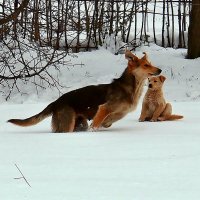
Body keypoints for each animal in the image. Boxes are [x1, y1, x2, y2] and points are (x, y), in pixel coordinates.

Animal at [7, 50, 162, 132]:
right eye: (146, 65)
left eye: (150, 64)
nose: (160, 70)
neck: (131, 87)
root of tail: (55, 102)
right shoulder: (104, 108)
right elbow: (97, 122)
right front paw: (95, 130)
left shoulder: (120, 112)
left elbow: (109, 121)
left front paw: (104, 125)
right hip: (67, 124)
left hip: (80, 123)